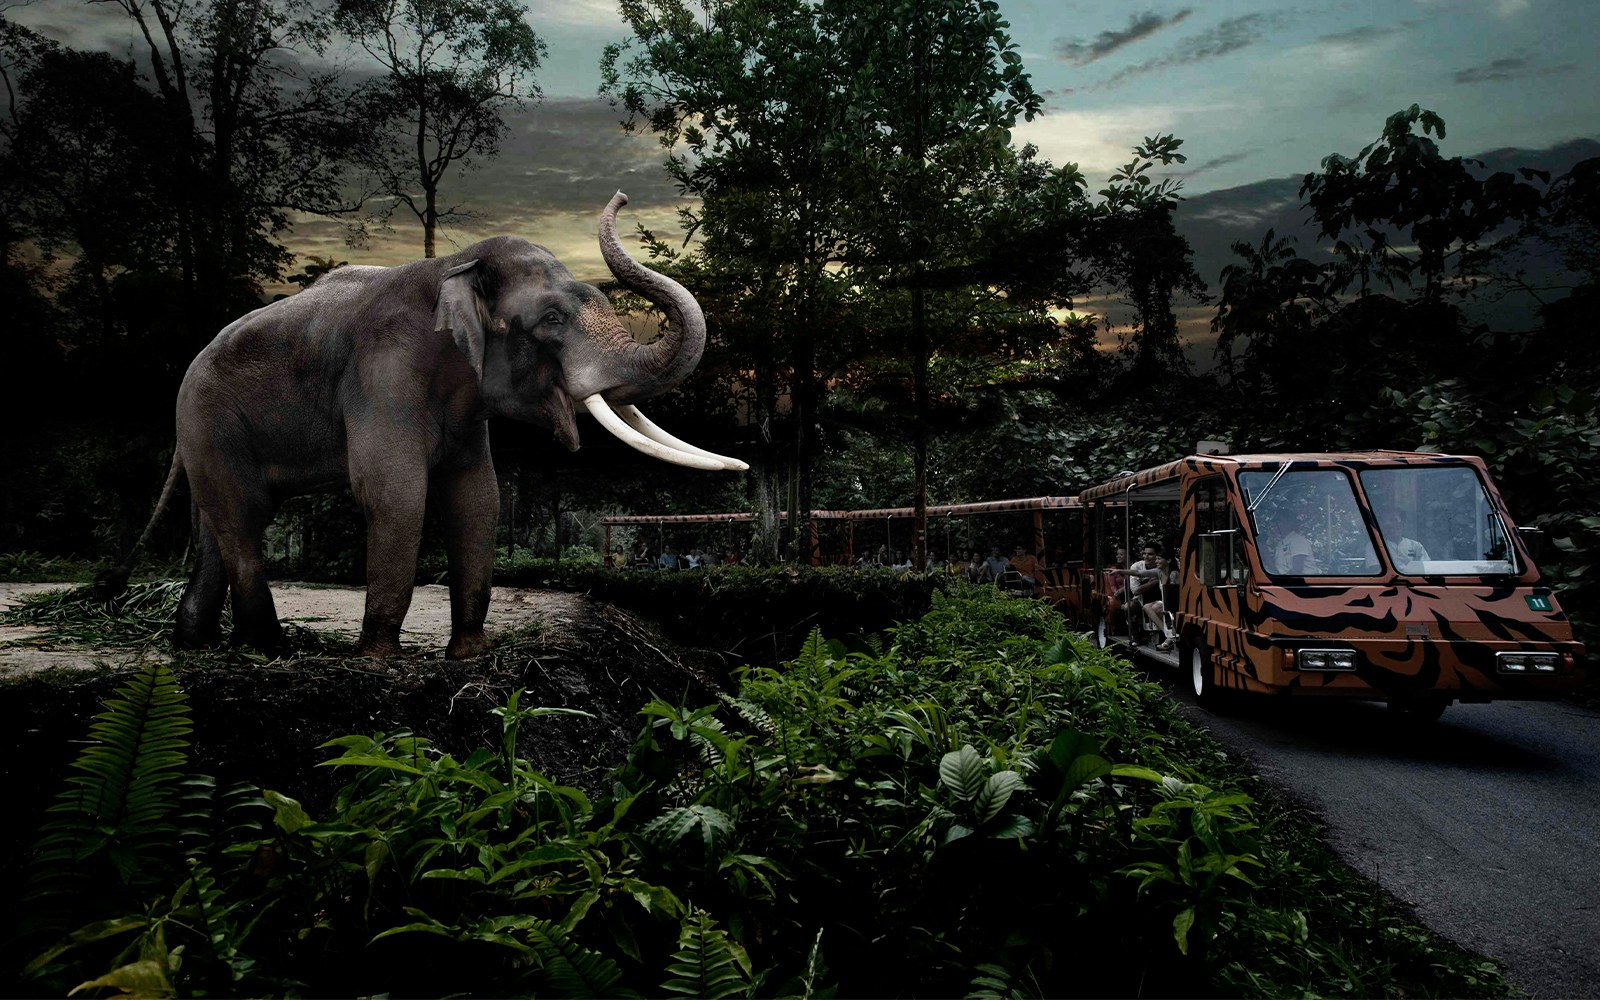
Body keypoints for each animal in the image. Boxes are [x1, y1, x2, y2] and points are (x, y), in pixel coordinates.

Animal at [135, 192, 743, 659]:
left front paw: (469, 656)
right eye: (551, 320)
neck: (455, 264)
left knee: (219, 519)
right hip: (211, 417)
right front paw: (378, 659)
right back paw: (271, 649)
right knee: (244, 514)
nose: (621, 197)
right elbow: (395, 492)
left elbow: (478, 496)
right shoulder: (383, 372)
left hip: (208, 431)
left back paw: (195, 644)